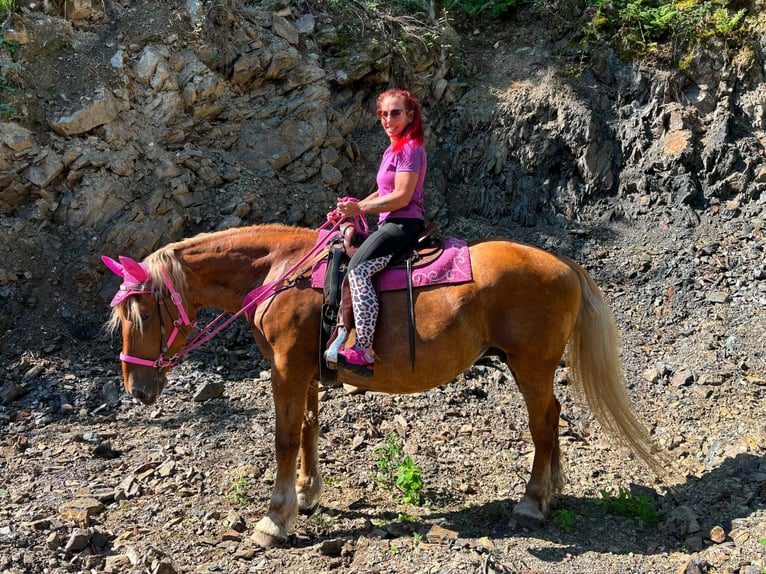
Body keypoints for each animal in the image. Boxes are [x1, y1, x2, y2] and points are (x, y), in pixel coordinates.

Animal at [103, 223, 667, 548]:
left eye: (143, 315)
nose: (136, 388)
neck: (281, 272)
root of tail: (563, 264)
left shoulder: (286, 369)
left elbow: (284, 439)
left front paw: (275, 519)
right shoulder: (304, 371)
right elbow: (308, 430)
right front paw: (307, 495)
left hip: (529, 365)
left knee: (544, 424)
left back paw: (531, 502)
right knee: (551, 420)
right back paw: (550, 493)